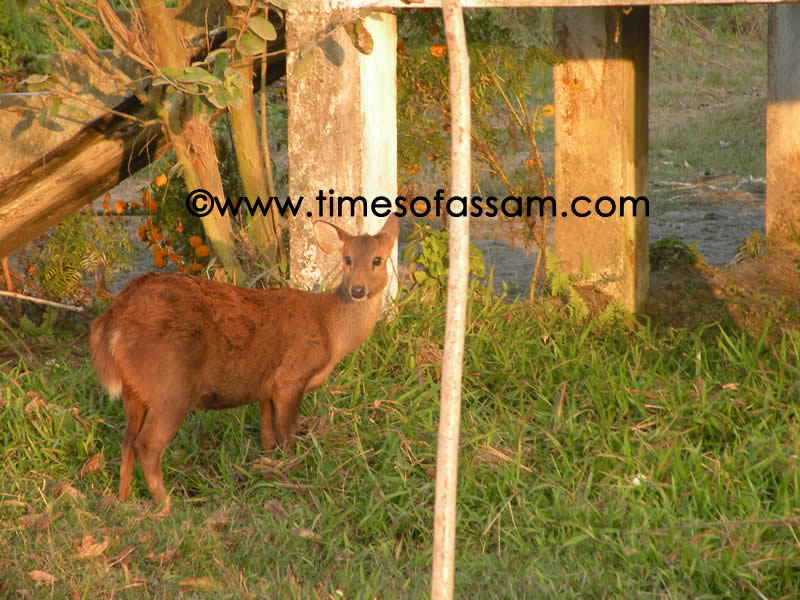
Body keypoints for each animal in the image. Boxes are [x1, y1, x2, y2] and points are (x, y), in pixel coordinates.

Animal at [90, 216, 399, 509]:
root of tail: (114, 319)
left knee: (127, 441)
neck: (330, 330)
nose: (357, 290)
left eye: (377, 259)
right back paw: (166, 505)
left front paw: (267, 468)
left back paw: (124, 501)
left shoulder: (265, 388)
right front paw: (291, 475)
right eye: (347, 259)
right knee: (146, 445)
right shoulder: (290, 376)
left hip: (135, 390)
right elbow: (288, 437)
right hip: (171, 386)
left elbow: (268, 436)